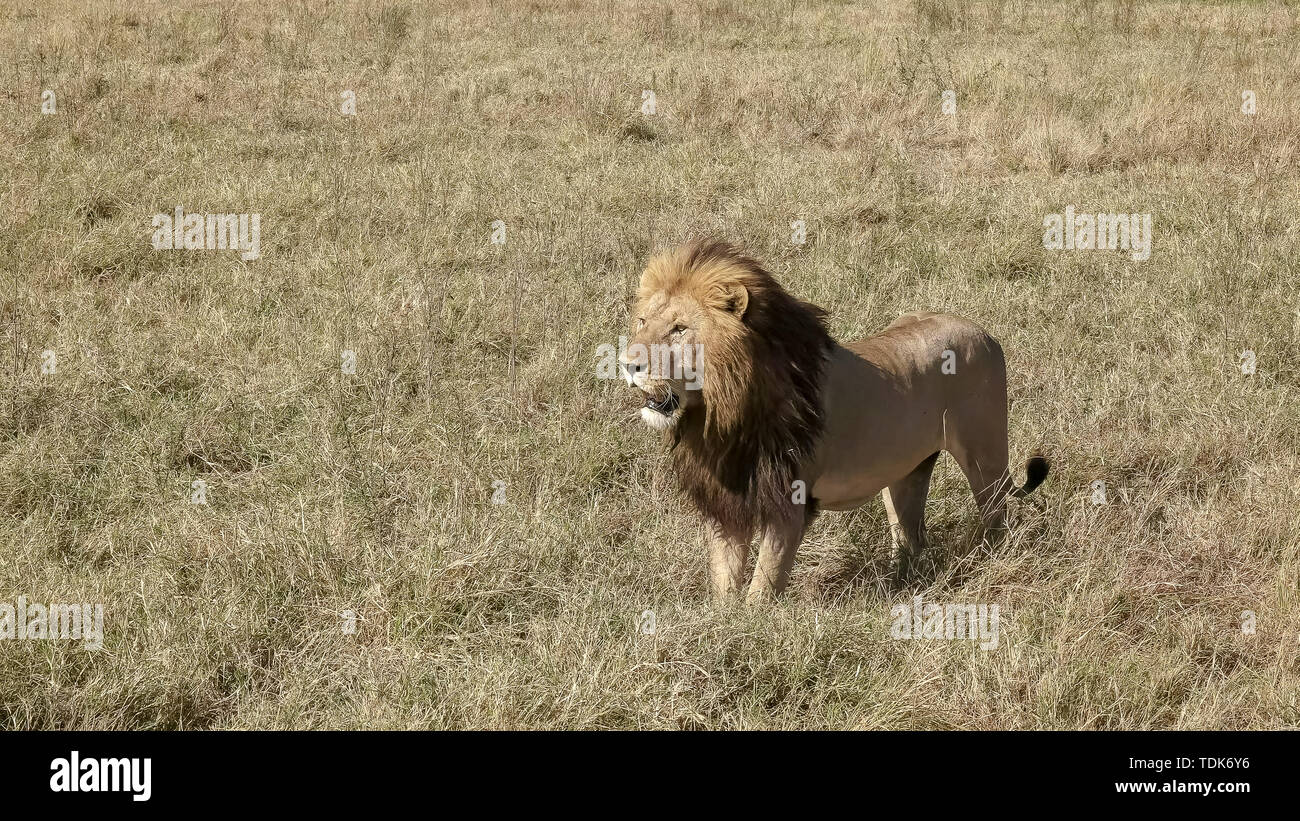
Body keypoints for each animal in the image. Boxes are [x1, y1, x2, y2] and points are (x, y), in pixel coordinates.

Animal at [619, 239, 1048, 601]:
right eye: (642, 322)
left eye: (680, 329)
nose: (625, 364)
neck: (723, 416)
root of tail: (985, 333)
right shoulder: (727, 500)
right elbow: (725, 578)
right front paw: (724, 622)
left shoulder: (789, 503)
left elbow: (763, 584)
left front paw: (752, 628)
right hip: (905, 472)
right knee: (910, 534)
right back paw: (899, 582)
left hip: (985, 456)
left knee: (996, 515)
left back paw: (988, 560)